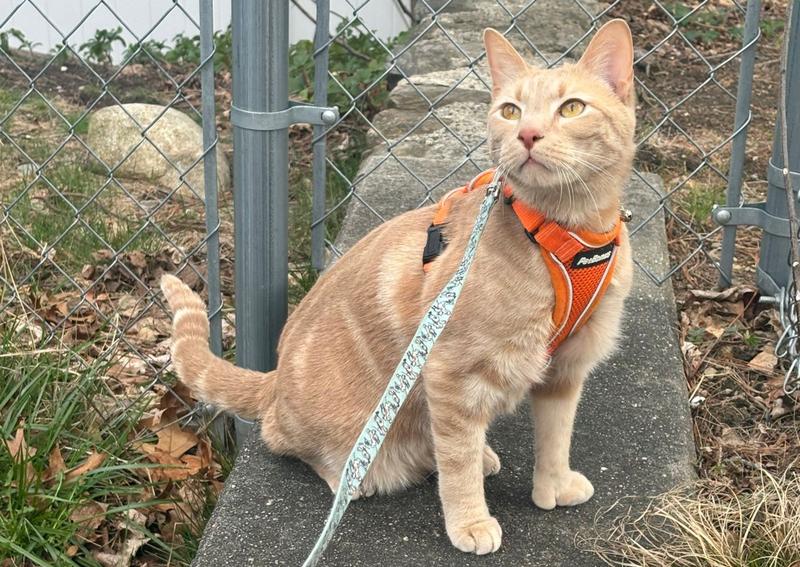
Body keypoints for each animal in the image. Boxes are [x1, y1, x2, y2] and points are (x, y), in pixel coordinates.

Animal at [161, 20, 636, 556]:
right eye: (510, 110)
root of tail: (275, 379)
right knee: (289, 439)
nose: (527, 135)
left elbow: (556, 438)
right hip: (350, 423)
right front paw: (470, 521)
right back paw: (355, 475)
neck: (566, 236)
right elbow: (457, 465)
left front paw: (552, 486)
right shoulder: (451, 373)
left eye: (572, 108)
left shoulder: (565, 370)